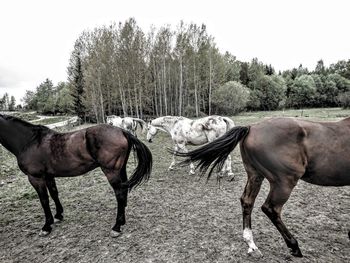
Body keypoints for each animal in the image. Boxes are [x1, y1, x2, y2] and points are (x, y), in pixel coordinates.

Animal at [0, 114, 152, 238]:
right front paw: (58, 215)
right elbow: (54, 194)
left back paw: (117, 226)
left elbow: (44, 200)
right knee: (124, 190)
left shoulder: (36, 178)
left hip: (111, 171)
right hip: (120, 169)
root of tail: (122, 131)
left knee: (119, 194)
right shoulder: (48, 176)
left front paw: (46, 226)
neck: (30, 142)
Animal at [176, 117, 350, 258]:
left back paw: (251, 244)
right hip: (284, 182)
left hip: (256, 175)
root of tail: (251, 127)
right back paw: (294, 246)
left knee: (247, 201)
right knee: (270, 208)